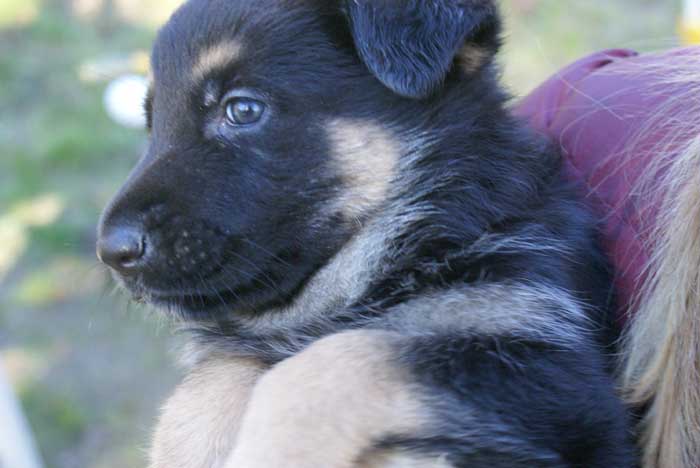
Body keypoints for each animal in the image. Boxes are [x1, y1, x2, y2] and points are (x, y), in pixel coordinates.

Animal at [95, 0, 636, 468]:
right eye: (152, 123)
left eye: (243, 109)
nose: (111, 252)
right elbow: (205, 386)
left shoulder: (555, 372)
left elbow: (343, 357)